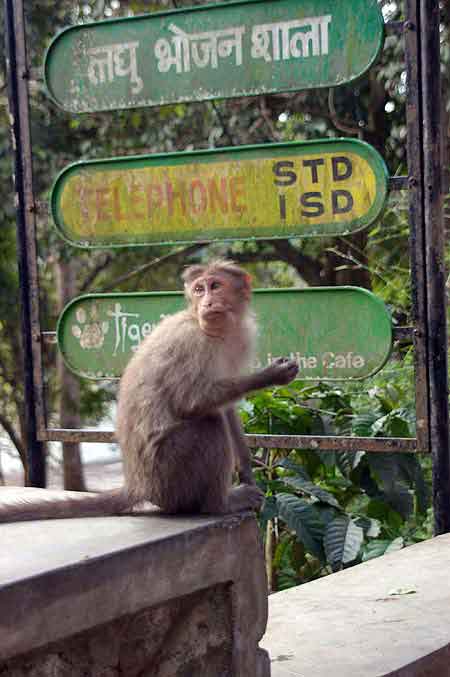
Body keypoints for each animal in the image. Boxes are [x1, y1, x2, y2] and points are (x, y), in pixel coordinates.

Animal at [0, 262, 298, 520]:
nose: (207, 303)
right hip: (169, 475)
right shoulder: (192, 343)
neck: (216, 330)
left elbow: (226, 409)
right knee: (208, 425)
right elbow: (191, 402)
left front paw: (247, 470)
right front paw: (271, 375)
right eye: (199, 290)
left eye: (215, 285)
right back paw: (218, 505)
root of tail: (138, 485)